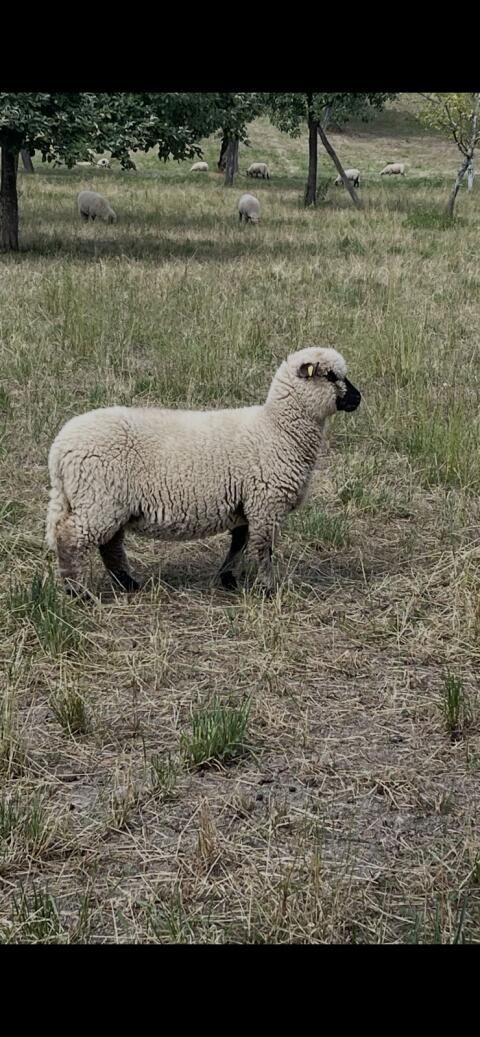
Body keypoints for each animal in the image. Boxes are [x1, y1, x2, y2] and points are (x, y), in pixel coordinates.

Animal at [45, 346, 361, 598]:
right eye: (331, 376)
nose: (358, 399)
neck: (277, 428)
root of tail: (60, 448)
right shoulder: (265, 503)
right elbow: (263, 549)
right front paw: (267, 589)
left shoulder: (245, 504)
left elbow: (239, 544)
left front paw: (228, 579)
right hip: (99, 498)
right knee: (70, 538)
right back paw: (78, 592)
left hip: (110, 503)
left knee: (109, 546)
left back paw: (128, 584)